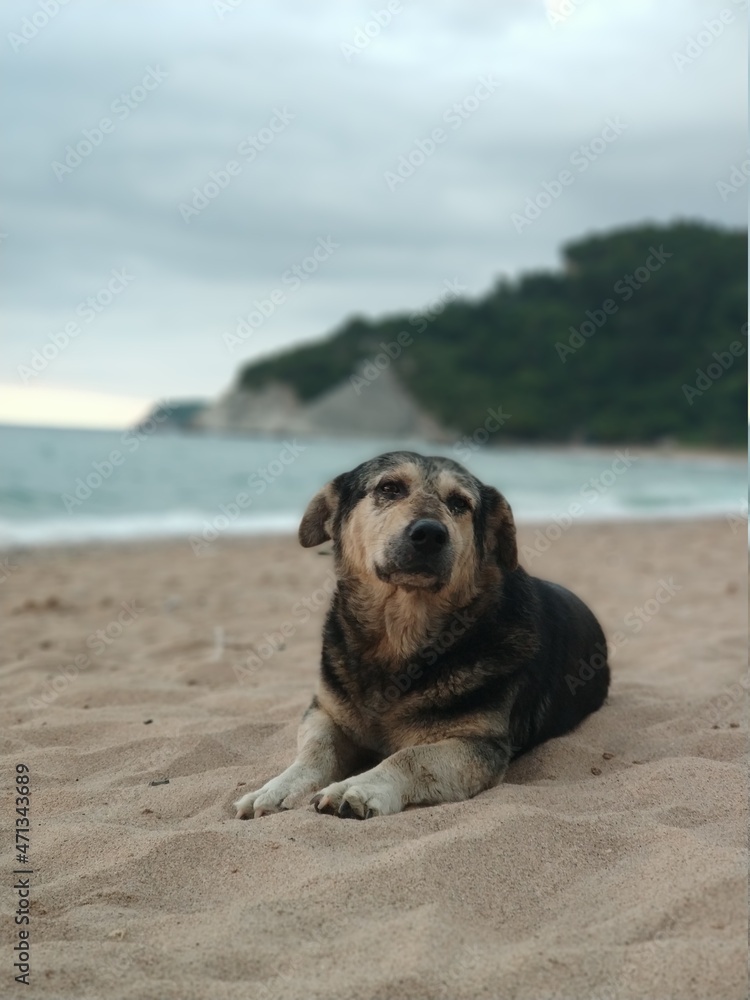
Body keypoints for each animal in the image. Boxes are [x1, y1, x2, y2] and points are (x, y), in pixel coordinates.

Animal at [235, 454, 612, 820]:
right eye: (389, 488)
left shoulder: (479, 744)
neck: (400, 640)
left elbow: (411, 757)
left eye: (459, 503)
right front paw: (275, 789)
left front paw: (355, 787)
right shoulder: (325, 712)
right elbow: (314, 753)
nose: (430, 534)